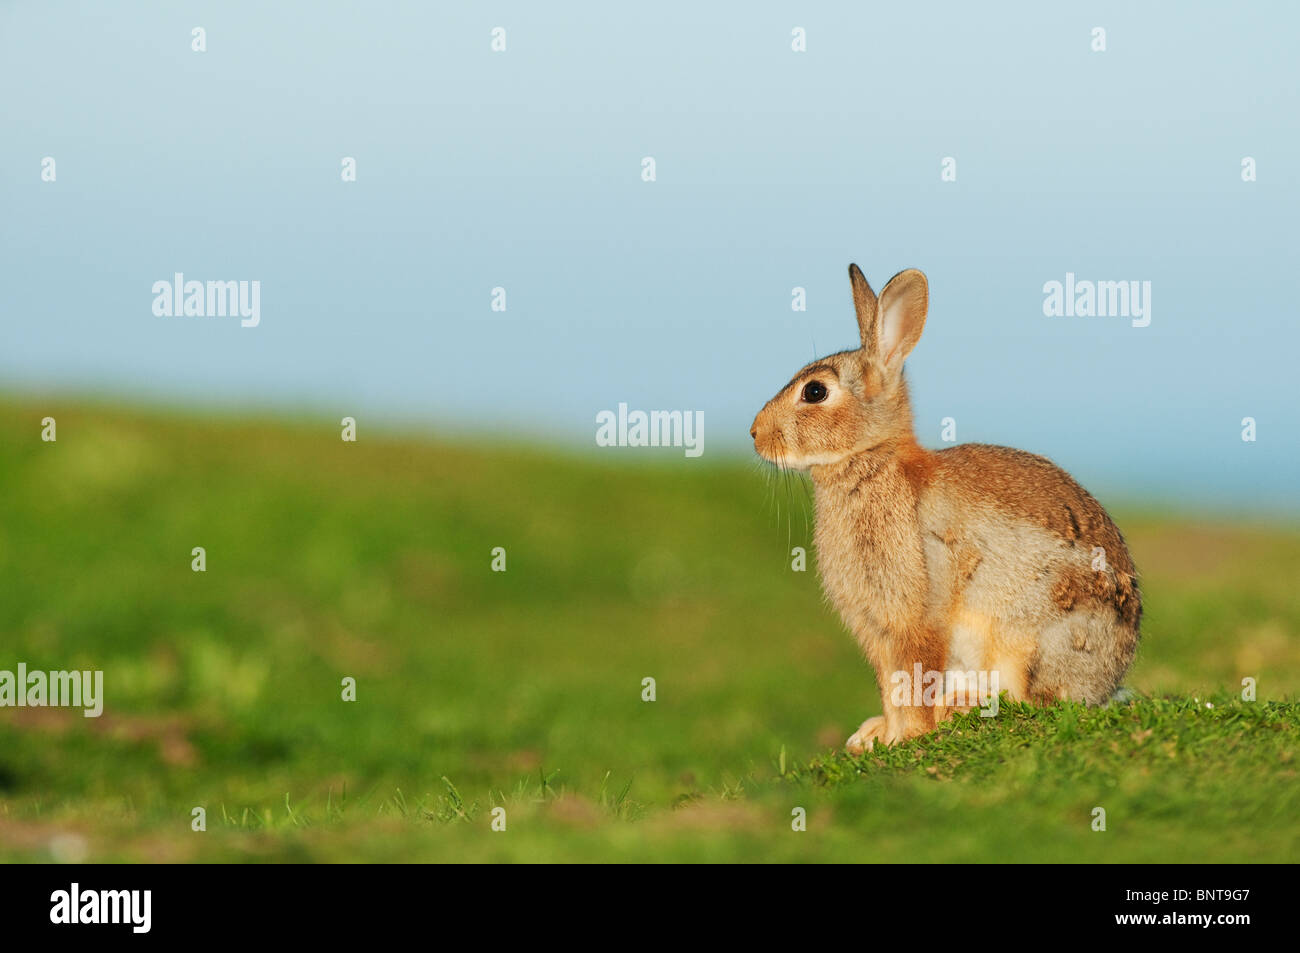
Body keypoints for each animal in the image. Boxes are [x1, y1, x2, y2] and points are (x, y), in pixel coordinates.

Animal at [754, 262, 1138, 748]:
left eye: (815, 392)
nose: (755, 434)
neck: (872, 462)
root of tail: (1110, 679)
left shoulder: (919, 613)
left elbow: (916, 675)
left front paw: (911, 736)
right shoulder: (878, 631)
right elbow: (891, 686)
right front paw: (880, 735)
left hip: (1032, 639)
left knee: (1037, 701)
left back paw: (964, 707)